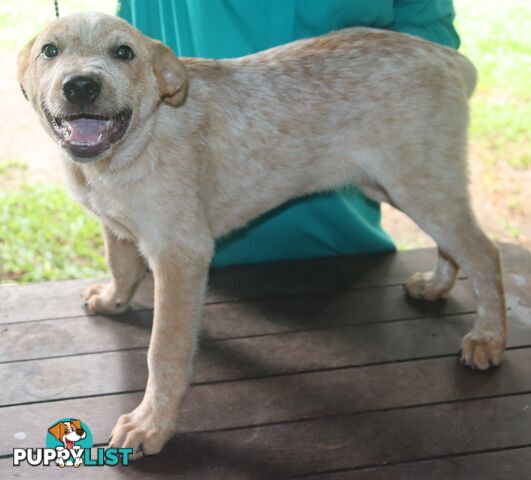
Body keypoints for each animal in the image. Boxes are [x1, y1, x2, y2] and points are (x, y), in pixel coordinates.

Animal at [17, 13, 508, 458]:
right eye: (50, 50)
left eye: (124, 53)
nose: (81, 86)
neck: (134, 147)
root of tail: (446, 56)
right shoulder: (116, 225)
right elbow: (120, 264)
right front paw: (112, 300)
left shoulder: (182, 254)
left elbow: (164, 351)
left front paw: (151, 424)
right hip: (399, 185)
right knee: (456, 246)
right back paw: (438, 284)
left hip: (420, 184)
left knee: (485, 252)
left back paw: (488, 338)